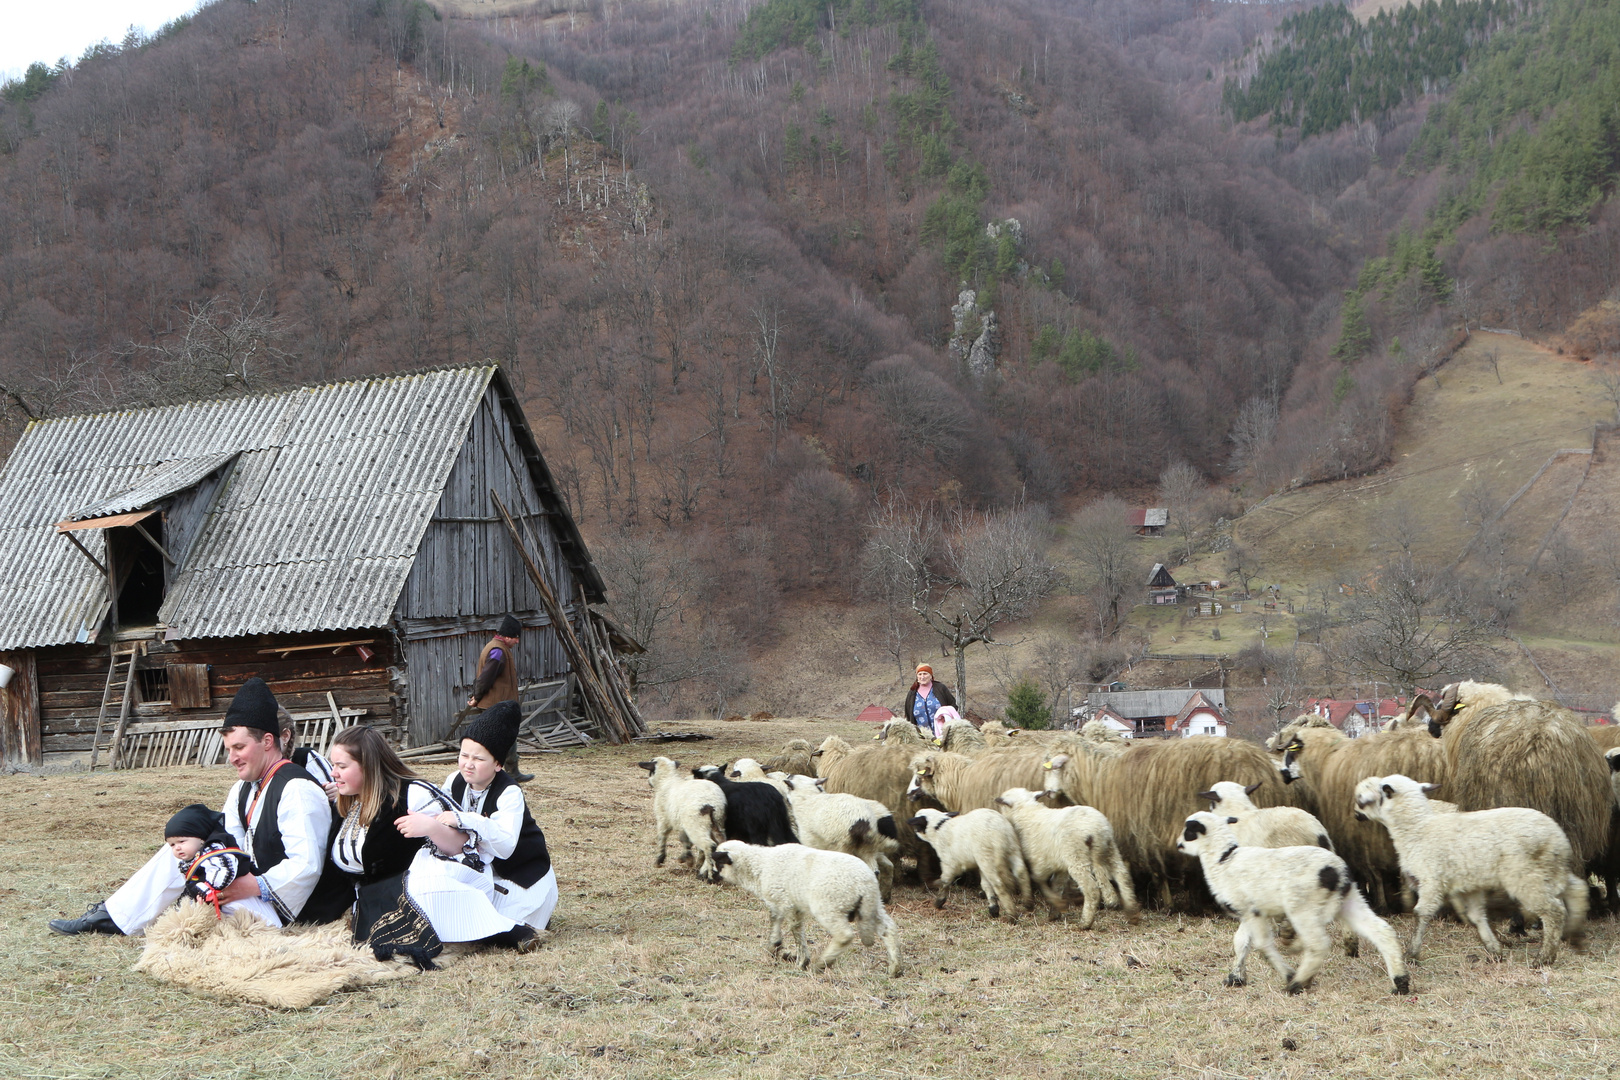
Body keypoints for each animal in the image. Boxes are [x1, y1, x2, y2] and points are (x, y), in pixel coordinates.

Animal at [716, 835, 907, 977]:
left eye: (717, 861)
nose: (710, 877)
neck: (761, 866)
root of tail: (865, 884)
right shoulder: (784, 902)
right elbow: (780, 921)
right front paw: (777, 947)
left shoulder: (786, 902)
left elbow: (792, 929)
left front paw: (799, 960)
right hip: (873, 905)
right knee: (888, 929)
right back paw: (895, 968)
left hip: (829, 906)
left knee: (844, 935)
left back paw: (821, 964)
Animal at [984, 786, 1140, 932]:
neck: (1027, 812)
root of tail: (1097, 830)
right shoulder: (1060, 866)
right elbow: (1057, 885)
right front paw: (1054, 912)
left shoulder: (1039, 861)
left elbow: (1039, 880)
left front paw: (1055, 904)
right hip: (1110, 849)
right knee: (1123, 875)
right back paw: (1132, 913)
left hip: (1077, 856)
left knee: (1091, 889)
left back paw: (1085, 923)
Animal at [1172, 809, 1412, 997]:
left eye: (1188, 831)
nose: (1178, 845)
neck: (1223, 860)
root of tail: (1336, 872)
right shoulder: (1251, 912)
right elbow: (1241, 941)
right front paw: (1235, 977)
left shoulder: (1250, 910)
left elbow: (1261, 945)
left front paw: (1287, 973)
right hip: (1350, 901)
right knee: (1382, 931)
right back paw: (1400, 982)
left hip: (1302, 907)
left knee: (1317, 944)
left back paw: (1297, 982)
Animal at [1347, 773, 1587, 965]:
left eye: (1364, 800)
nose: (1356, 815)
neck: (1418, 829)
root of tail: (1557, 837)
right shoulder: (1470, 886)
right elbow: (1476, 916)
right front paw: (1494, 950)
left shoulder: (1431, 880)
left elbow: (1421, 914)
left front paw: (1412, 953)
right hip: (1551, 870)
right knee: (1578, 890)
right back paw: (1575, 936)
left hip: (1525, 876)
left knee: (1553, 910)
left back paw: (1545, 957)